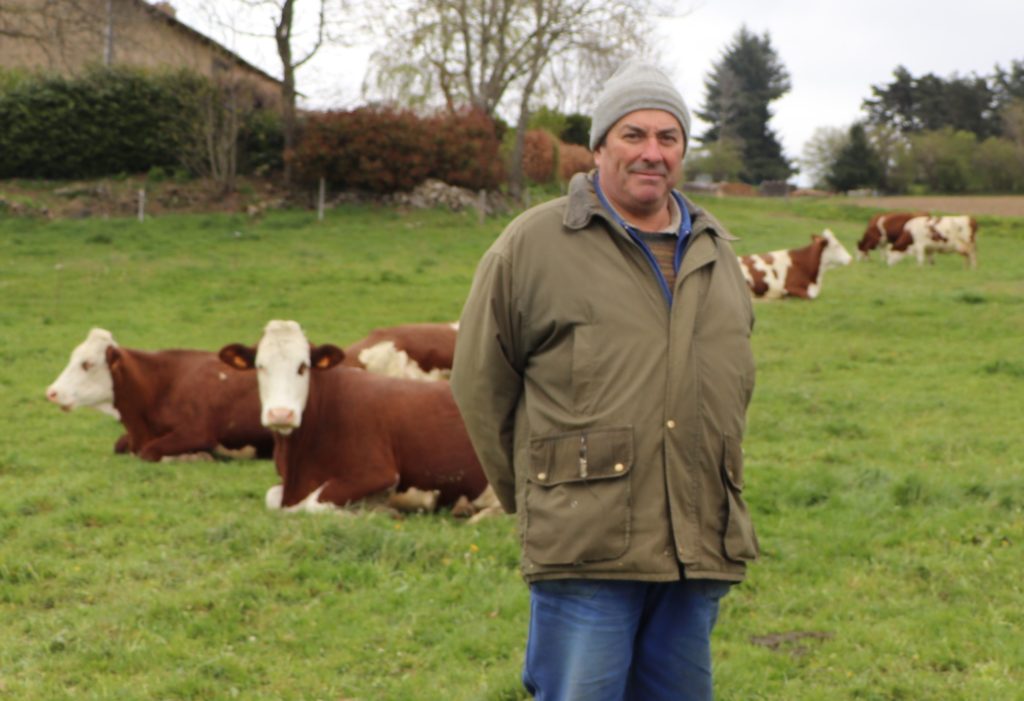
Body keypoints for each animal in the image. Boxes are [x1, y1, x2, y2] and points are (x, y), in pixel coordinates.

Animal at [218, 319, 493, 515]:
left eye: (303, 366)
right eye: (260, 366)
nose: (281, 414)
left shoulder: (377, 473)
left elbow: (312, 504)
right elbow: (272, 498)